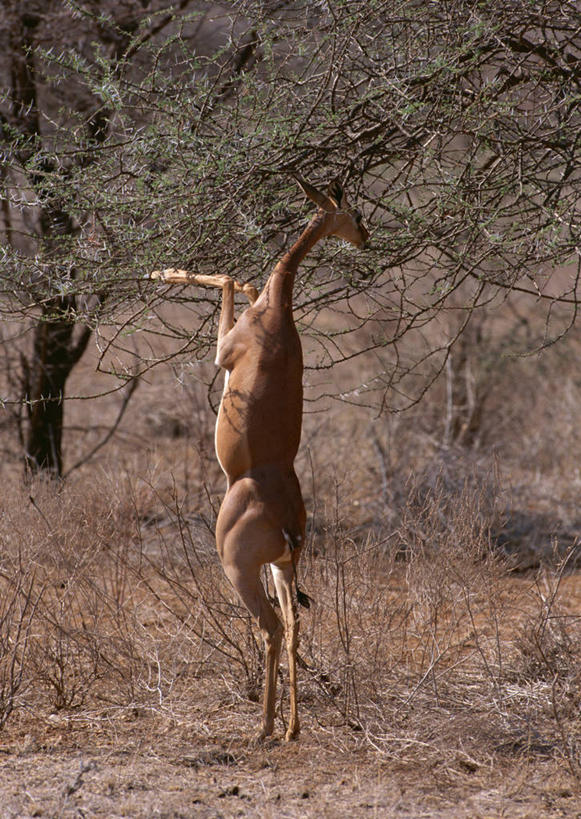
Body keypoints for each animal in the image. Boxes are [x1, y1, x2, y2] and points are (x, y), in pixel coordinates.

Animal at [150, 176, 368, 740]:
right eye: (356, 213)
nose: (366, 237)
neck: (277, 313)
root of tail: (288, 523)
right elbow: (245, 280)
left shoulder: (222, 351)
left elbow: (230, 277)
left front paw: (161, 270)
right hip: (283, 568)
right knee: (293, 625)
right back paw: (291, 727)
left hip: (240, 568)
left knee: (269, 627)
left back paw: (265, 728)